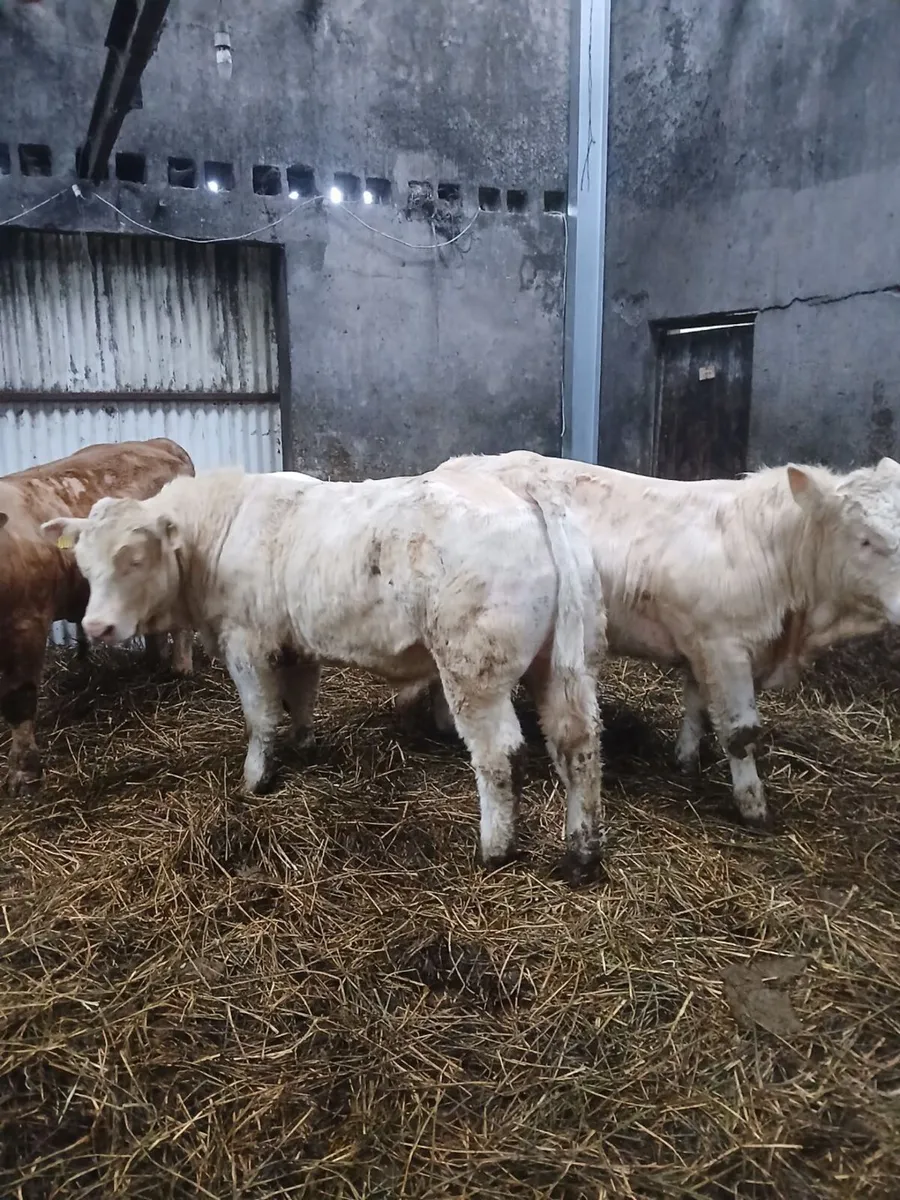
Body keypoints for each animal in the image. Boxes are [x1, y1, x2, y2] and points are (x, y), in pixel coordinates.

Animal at [0, 438, 195, 796]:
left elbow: (18, 698)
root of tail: (159, 443)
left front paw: (23, 771)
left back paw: (180, 667)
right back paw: (152, 662)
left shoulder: (26, 624)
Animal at [43, 466, 609, 882]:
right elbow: (301, 699)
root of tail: (520, 493)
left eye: (134, 558)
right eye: (85, 564)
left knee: (498, 755)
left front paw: (255, 779)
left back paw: (494, 848)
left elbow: (260, 717)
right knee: (577, 743)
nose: (95, 625)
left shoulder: (247, 643)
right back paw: (581, 853)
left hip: (474, 671)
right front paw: (304, 746)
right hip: (559, 666)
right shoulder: (297, 644)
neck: (223, 530)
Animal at [416, 450, 900, 831]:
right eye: (866, 539)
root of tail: (459, 463)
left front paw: (685, 759)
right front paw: (754, 808)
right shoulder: (723, 646)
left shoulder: (701, 645)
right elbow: (741, 733)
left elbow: (697, 706)